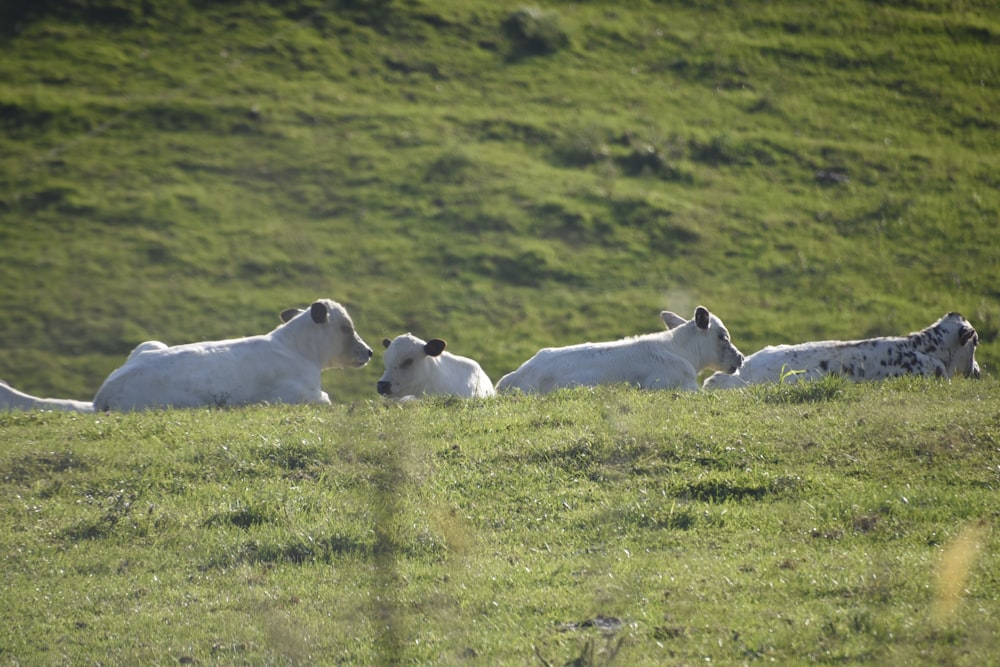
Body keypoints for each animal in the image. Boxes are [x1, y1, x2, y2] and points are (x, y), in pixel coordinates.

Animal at [0, 298, 372, 412]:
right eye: (347, 328)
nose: (368, 351)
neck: (297, 350)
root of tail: (101, 395)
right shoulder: (297, 395)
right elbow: (326, 399)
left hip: (150, 343)